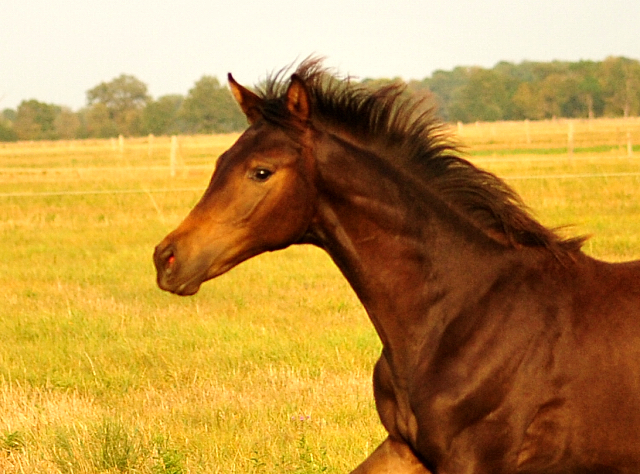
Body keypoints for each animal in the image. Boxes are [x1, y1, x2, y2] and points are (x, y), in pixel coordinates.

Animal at [154, 60, 640, 474]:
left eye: (261, 171)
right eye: (219, 162)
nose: (167, 258)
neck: (462, 314)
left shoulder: (477, 459)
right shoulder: (405, 448)